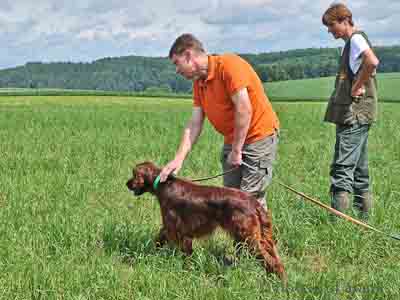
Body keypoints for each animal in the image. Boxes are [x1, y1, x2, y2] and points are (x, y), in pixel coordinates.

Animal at [126, 162, 286, 284]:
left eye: (134, 175)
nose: (126, 184)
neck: (164, 185)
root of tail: (253, 202)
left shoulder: (178, 231)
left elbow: (185, 255)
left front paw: (186, 272)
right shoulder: (171, 230)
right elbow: (158, 241)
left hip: (248, 237)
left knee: (272, 262)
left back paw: (280, 284)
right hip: (253, 237)